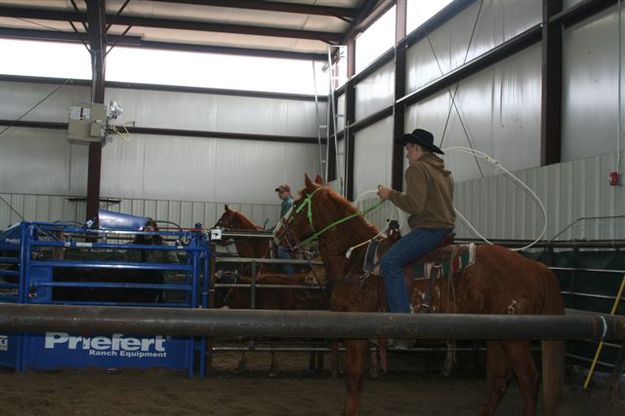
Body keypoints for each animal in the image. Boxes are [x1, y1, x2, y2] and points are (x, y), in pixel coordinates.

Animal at [278, 173, 564, 416]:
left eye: (298, 203)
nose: (278, 235)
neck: (356, 259)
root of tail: (536, 266)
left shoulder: (357, 335)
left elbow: (354, 380)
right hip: (498, 336)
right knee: (499, 380)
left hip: (516, 339)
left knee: (529, 380)